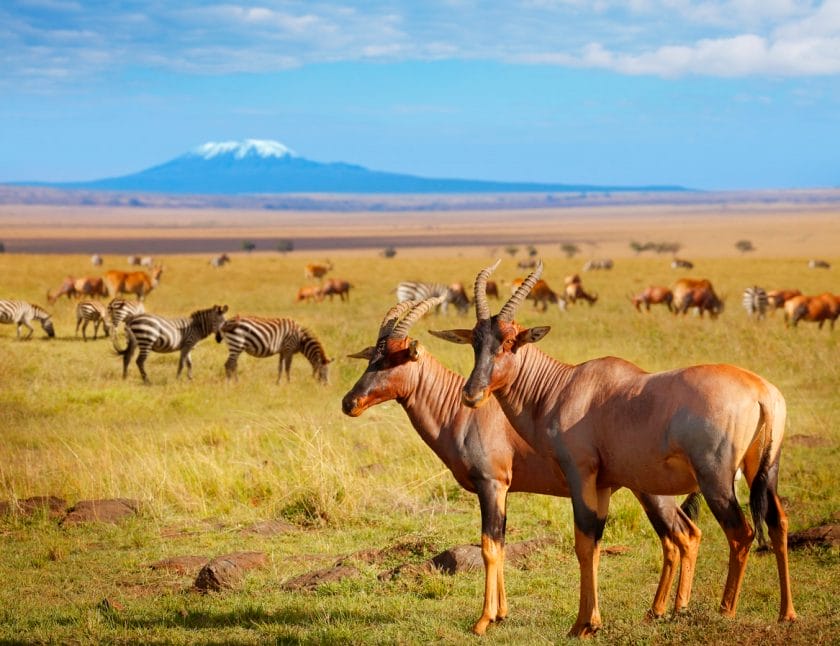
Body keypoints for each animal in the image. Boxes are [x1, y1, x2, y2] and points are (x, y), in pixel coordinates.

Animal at [342, 298, 704, 636]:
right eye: (372, 358)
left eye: (395, 358)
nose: (349, 403)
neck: (465, 412)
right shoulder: (505, 490)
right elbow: (500, 544)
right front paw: (501, 614)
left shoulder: (491, 484)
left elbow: (489, 546)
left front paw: (483, 621)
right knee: (676, 537)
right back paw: (656, 611)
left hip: (651, 490)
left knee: (683, 534)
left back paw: (674, 610)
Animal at [434, 262, 796, 636]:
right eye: (476, 342)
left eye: (509, 342)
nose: (471, 394)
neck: (566, 386)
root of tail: (761, 391)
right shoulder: (604, 484)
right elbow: (594, 543)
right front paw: (590, 621)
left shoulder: (580, 474)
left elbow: (582, 542)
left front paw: (581, 625)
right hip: (764, 469)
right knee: (777, 522)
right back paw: (786, 613)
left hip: (716, 480)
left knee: (741, 533)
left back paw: (725, 611)